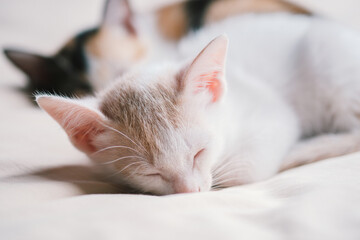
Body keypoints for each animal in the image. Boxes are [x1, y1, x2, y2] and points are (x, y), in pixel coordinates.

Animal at [34, 13, 360, 195]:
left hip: (329, 61)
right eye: (150, 173)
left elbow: (246, 169)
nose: (188, 192)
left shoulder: (274, 116)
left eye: (199, 153)